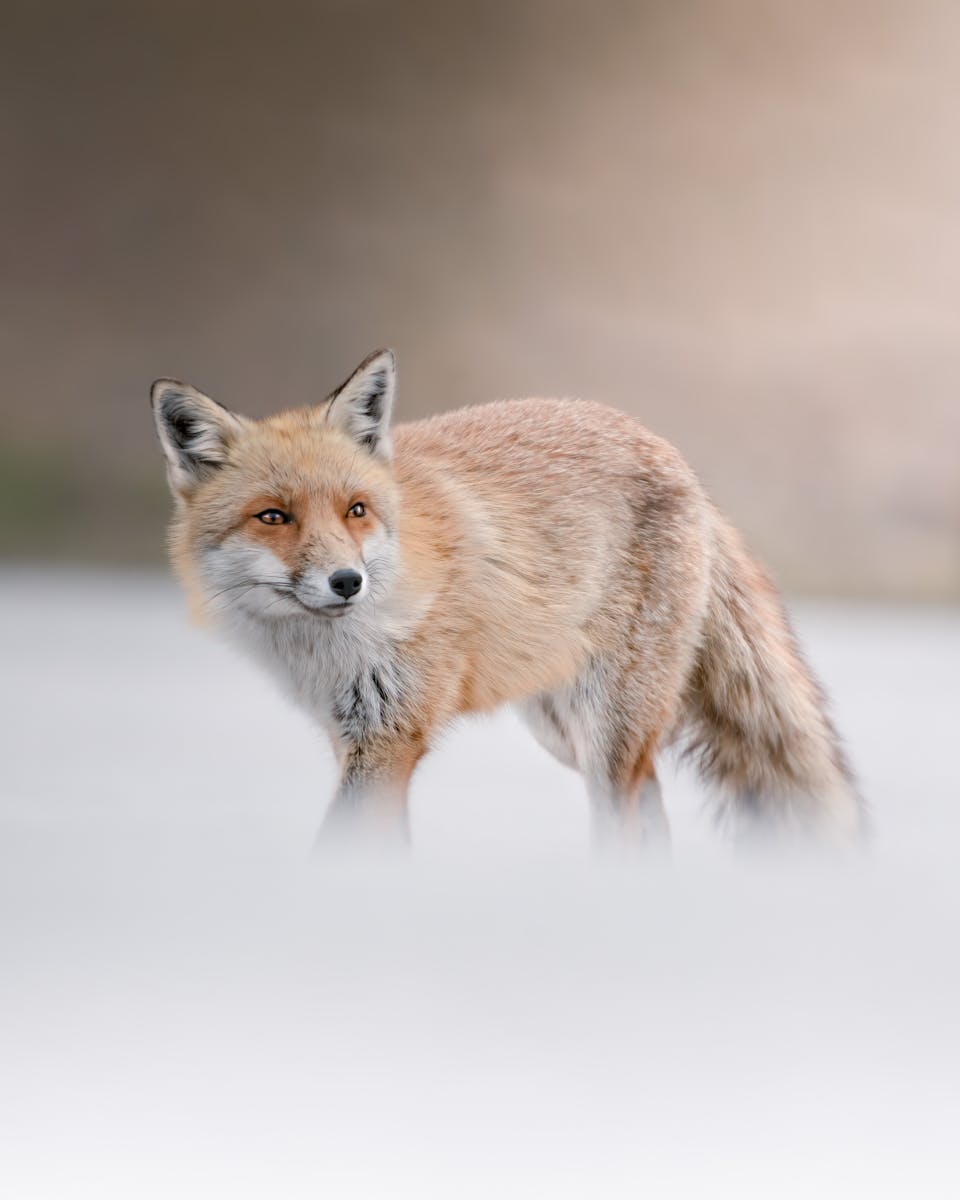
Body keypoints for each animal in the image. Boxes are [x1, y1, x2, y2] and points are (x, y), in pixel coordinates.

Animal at [151, 349, 862, 848]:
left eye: (356, 510)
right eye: (273, 517)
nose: (347, 581)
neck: (328, 652)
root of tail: (680, 463)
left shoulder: (391, 736)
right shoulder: (354, 738)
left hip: (607, 733)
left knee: (624, 823)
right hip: (563, 731)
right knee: (652, 813)